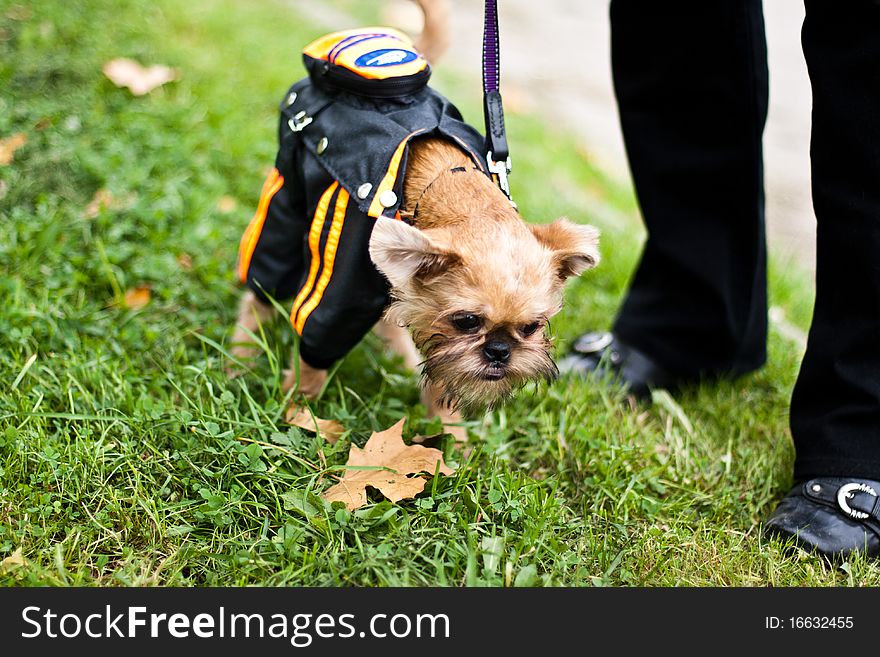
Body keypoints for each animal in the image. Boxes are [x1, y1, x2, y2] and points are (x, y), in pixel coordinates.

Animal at [229, 3, 600, 440]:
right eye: (467, 321)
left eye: (531, 328)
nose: (500, 351)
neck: (444, 181)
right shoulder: (341, 299)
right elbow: (317, 351)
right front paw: (300, 412)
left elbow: (444, 380)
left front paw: (453, 440)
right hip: (286, 196)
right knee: (262, 287)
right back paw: (240, 357)